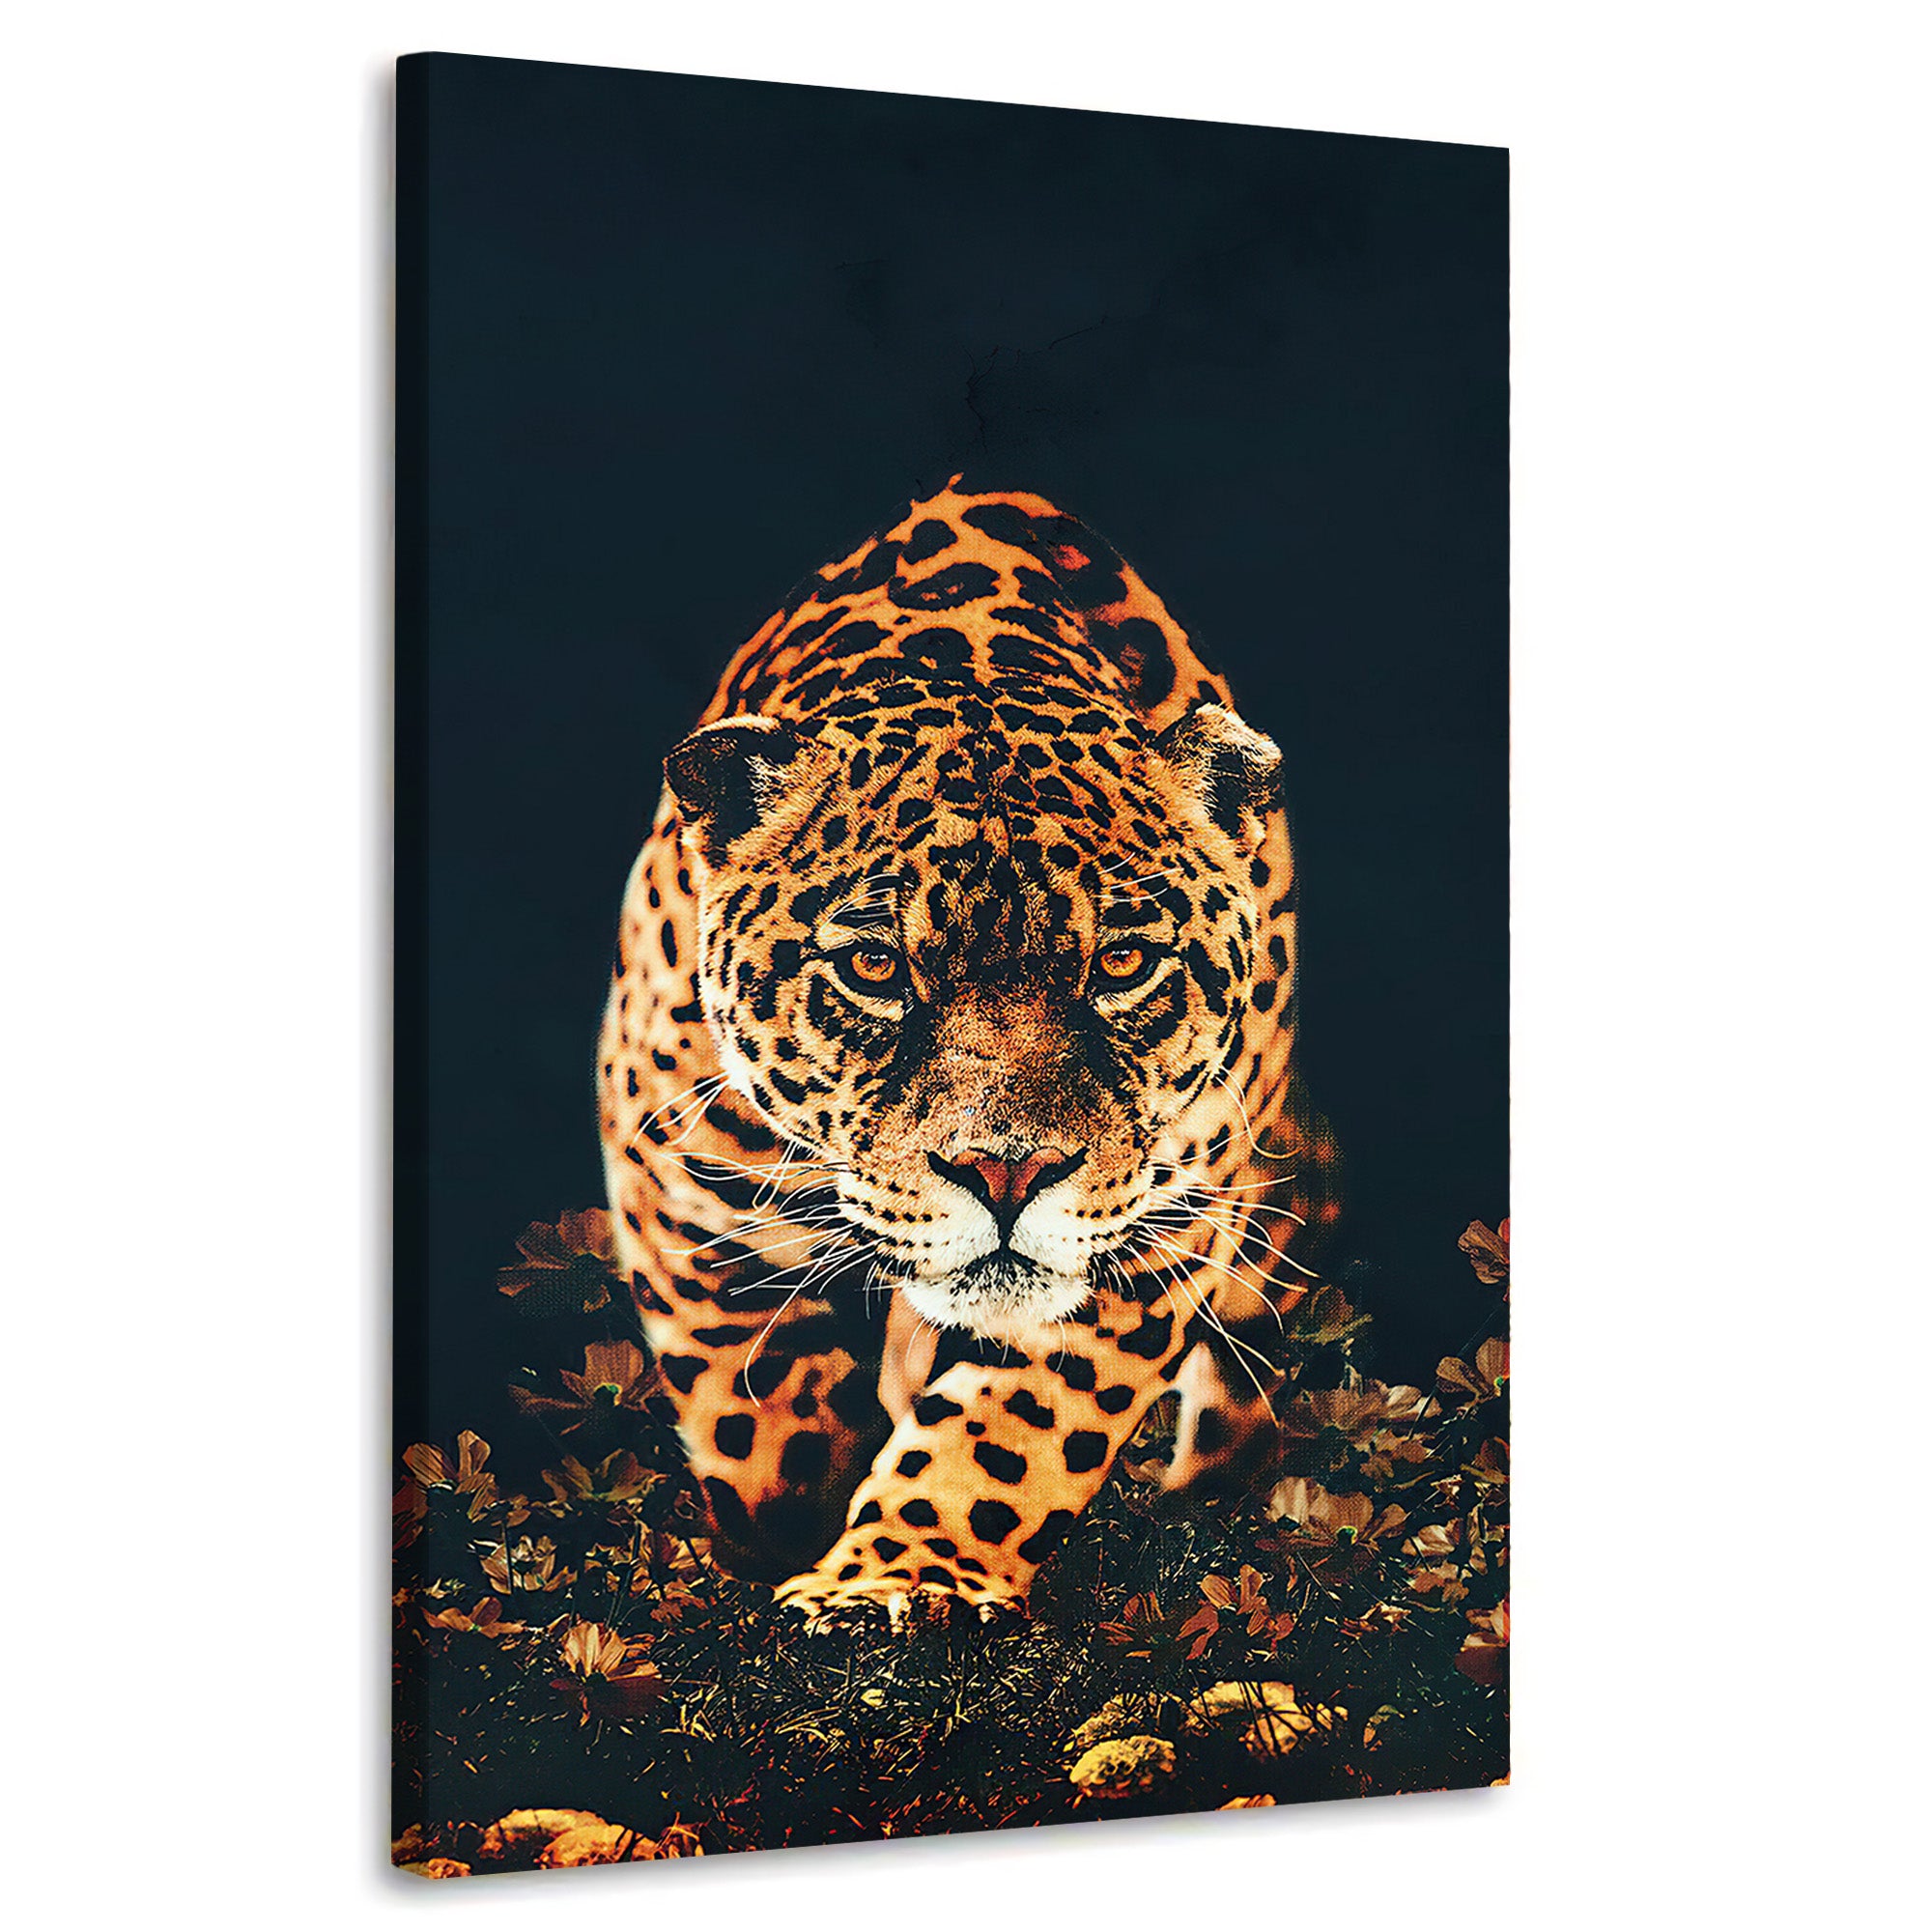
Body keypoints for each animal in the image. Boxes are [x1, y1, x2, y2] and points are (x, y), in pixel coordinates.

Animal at [597, 477, 1339, 1629]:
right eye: (873, 966)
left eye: (1121, 961)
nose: (1006, 1172)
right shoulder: (680, 1171)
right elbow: (755, 1396)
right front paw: (789, 1530)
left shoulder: (1163, 1214)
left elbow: (1013, 1426)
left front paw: (896, 1575)